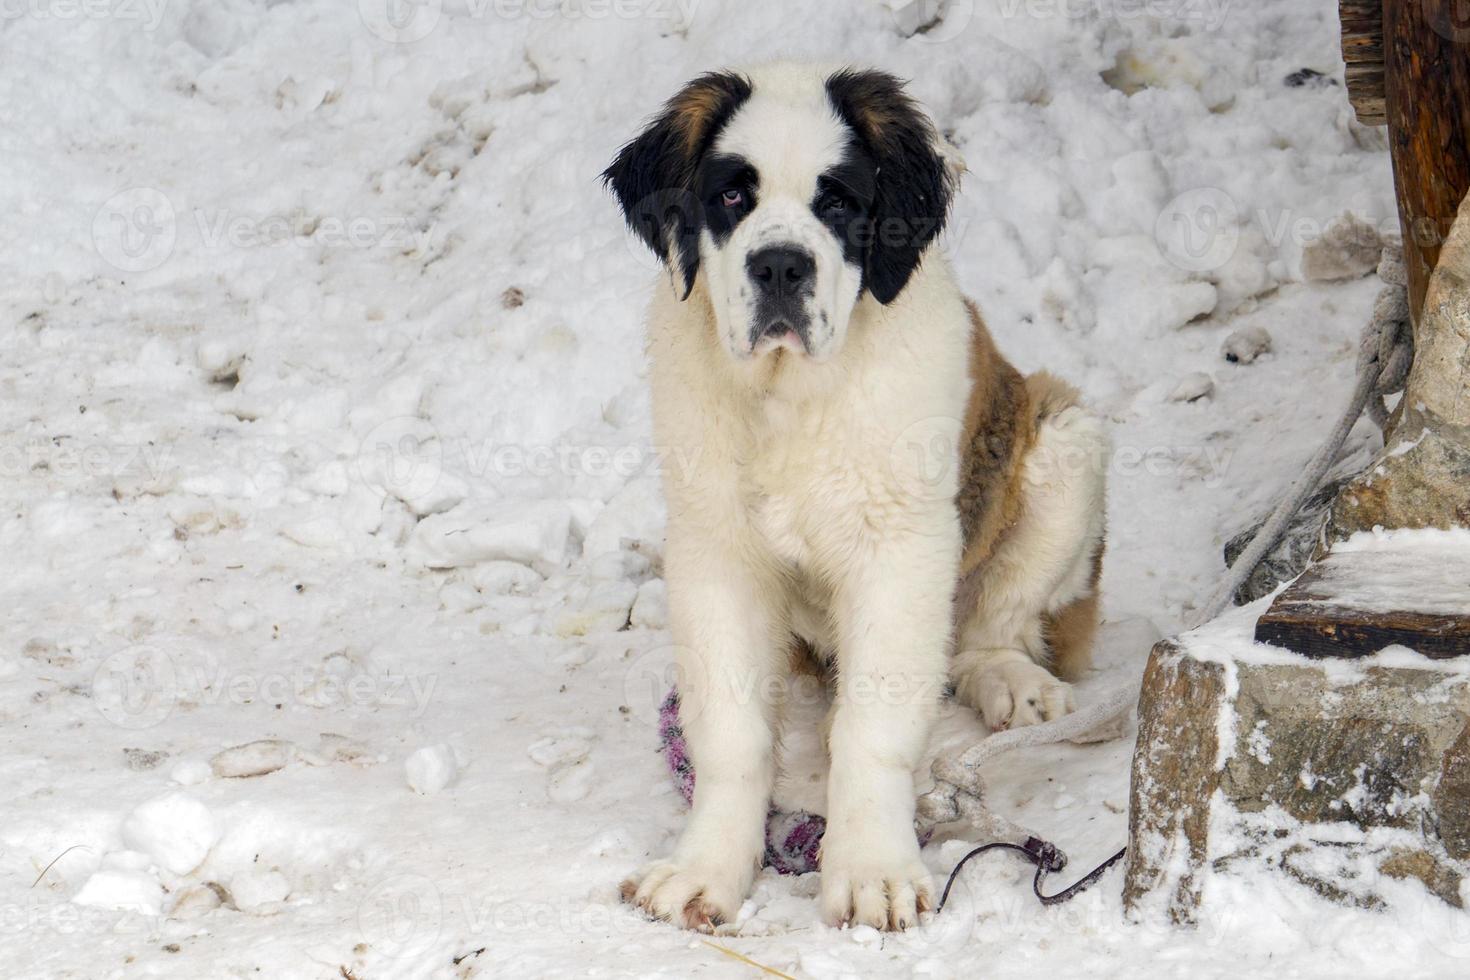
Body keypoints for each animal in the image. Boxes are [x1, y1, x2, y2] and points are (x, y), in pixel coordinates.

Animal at [605, 63, 1105, 934]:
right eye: (731, 195)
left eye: (837, 201)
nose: (779, 267)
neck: (789, 398)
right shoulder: (716, 552)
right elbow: (731, 730)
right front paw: (706, 869)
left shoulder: (900, 553)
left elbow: (876, 726)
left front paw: (872, 869)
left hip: (1062, 441)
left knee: (988, 632)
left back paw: (1011, 681)